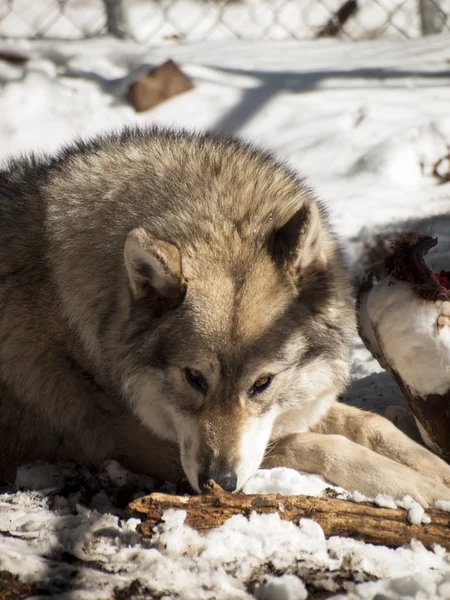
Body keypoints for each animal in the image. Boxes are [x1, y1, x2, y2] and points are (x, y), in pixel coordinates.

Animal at [0, 127, 450, 506]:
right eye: (194, 378)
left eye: (262, 383)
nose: (218, 483)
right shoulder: (138, 443)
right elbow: (321, 445)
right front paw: (420, 486)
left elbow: (370, 422)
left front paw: (437, 470)